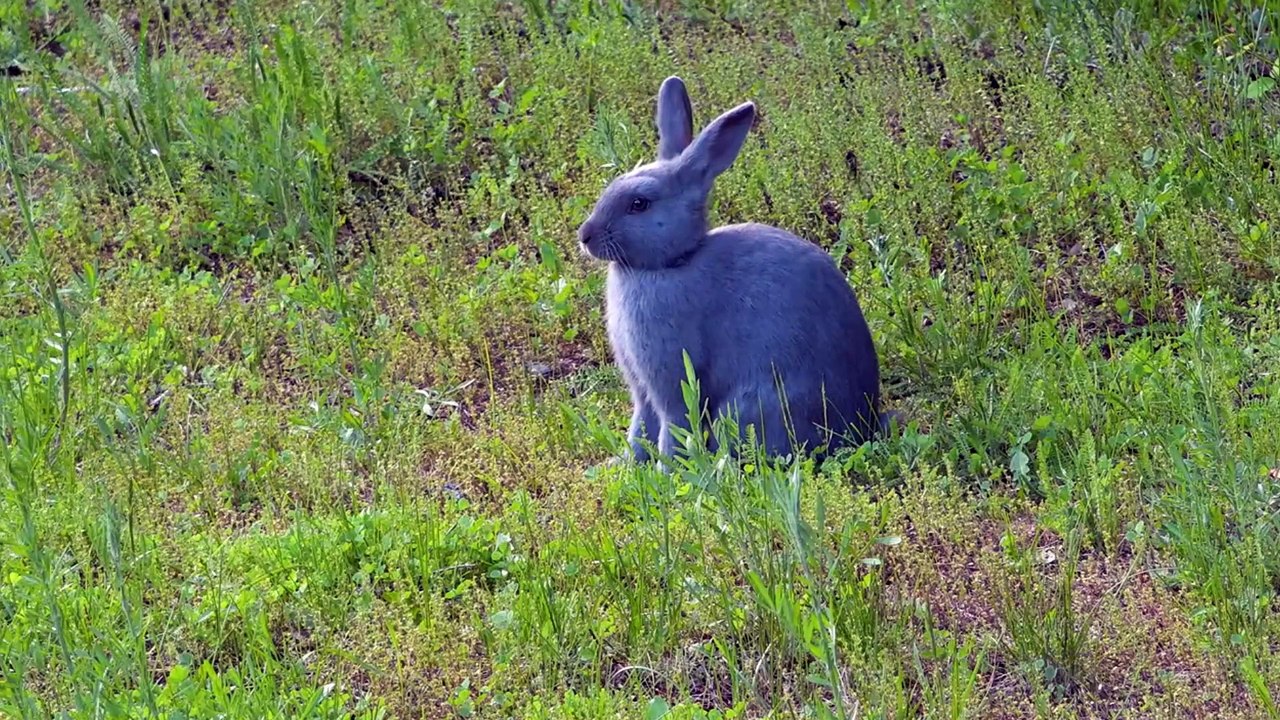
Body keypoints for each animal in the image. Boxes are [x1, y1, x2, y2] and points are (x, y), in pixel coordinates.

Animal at [577, 75, 887, 463]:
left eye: (639, 204)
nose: (585, 235)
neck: (672, 262)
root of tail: (860, 427)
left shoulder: (672, 380)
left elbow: (673, 425)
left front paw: (668, 470)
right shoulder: (642, 390)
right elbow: (640, 428)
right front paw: (625, 464)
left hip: (746, 408)